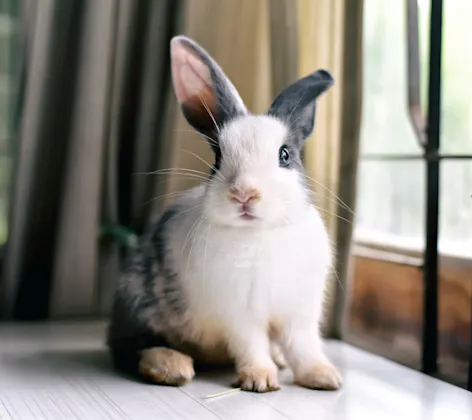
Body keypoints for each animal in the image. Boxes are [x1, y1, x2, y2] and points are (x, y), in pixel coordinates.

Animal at [106, 34, 342, 392]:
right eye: (217, 157)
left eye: (285, 155)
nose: (244, 194)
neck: (260, 233)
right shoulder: (240, 315)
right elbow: (251, 345)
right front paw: (260, 380)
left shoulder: (299, 313)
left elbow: (304, 346)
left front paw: (325, 377)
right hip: (137, 302)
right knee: (129, 347)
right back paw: (172, 366)